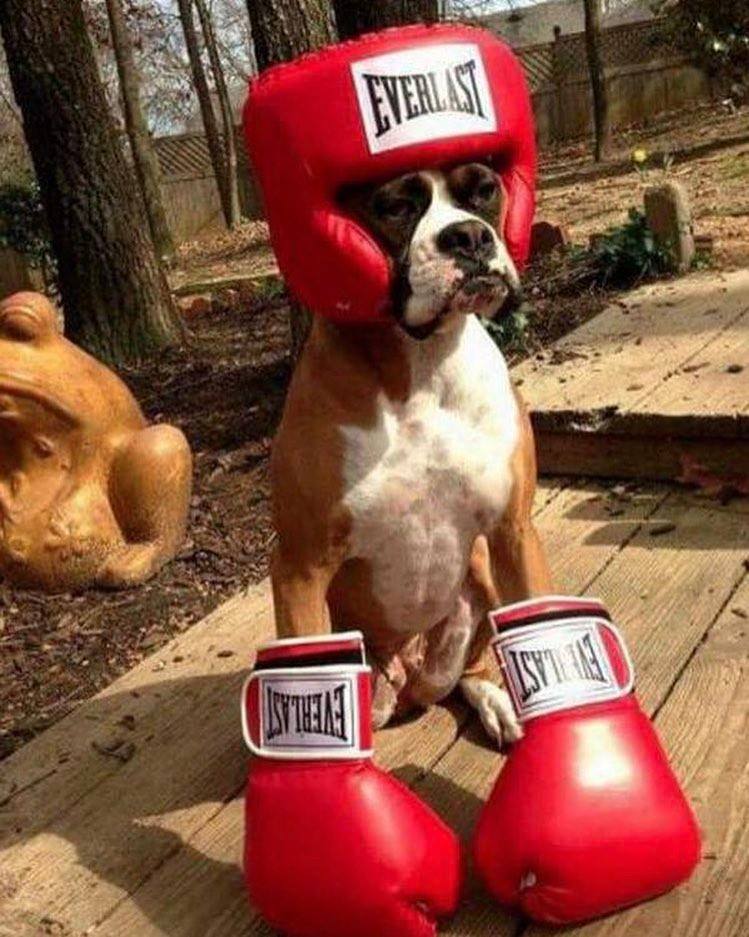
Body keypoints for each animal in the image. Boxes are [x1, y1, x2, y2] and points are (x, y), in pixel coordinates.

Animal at [269, 161, 552, 747]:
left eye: (484, 190)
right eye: (395, 206)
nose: (468, 236)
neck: (420, 365)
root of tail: (413, 677)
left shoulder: (513, 531)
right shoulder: (299, 569)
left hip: (484, 569)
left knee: (475, 666)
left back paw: (496, 700)